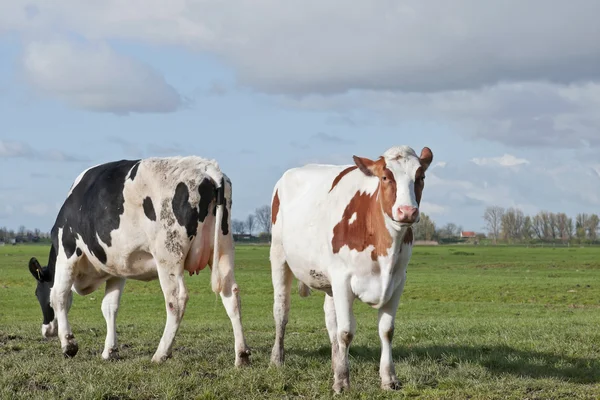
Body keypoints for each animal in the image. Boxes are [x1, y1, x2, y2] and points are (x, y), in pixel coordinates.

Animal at [27, 155, 251, 366]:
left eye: (37, 293)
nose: (46, 331)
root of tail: (207, 168)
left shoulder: (68, 253)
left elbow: (59, 296)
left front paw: (68, 345)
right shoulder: (117, 269)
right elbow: (109, 307)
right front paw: (110, 351)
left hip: (168, 255)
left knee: (176, 300)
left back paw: (160, 354)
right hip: (223, 249)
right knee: (231, 295)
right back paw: (241, 355)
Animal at [270, 145, 434, 394]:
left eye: (421, 177)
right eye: (385, 177)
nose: (407, 211)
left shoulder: (397, 282)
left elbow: (386, 330)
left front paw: (388, 378)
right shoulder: (343, 280)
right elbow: (346, 332)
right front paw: (342, 381)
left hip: (329, 283)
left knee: (331, 320)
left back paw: (335, 362)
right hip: (279, 256)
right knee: (281, 310)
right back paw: (277, 359)